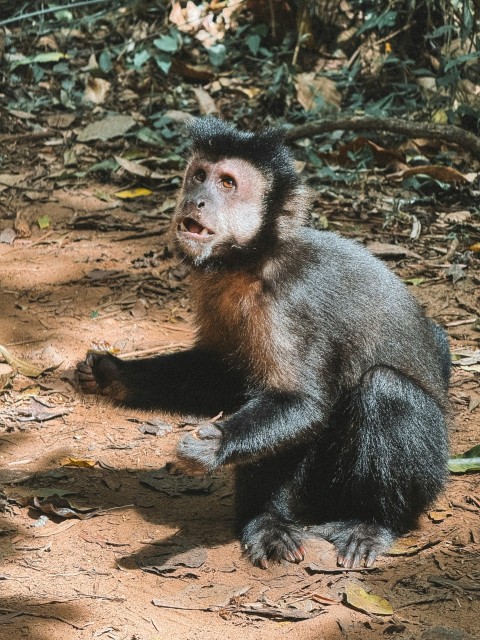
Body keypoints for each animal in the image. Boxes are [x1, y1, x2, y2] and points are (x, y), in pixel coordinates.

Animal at [76, 117, 450, 568]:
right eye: (198, 176)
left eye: (227, 183)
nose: (197, 200)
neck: (252, 261)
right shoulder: (213, 289)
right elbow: (221, 376)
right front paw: (113, 375)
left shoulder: (287, 301)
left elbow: (302, 403)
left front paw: (216, 444)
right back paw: (265, 521)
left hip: (425, 475)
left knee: (383, 388)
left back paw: (369, 522)